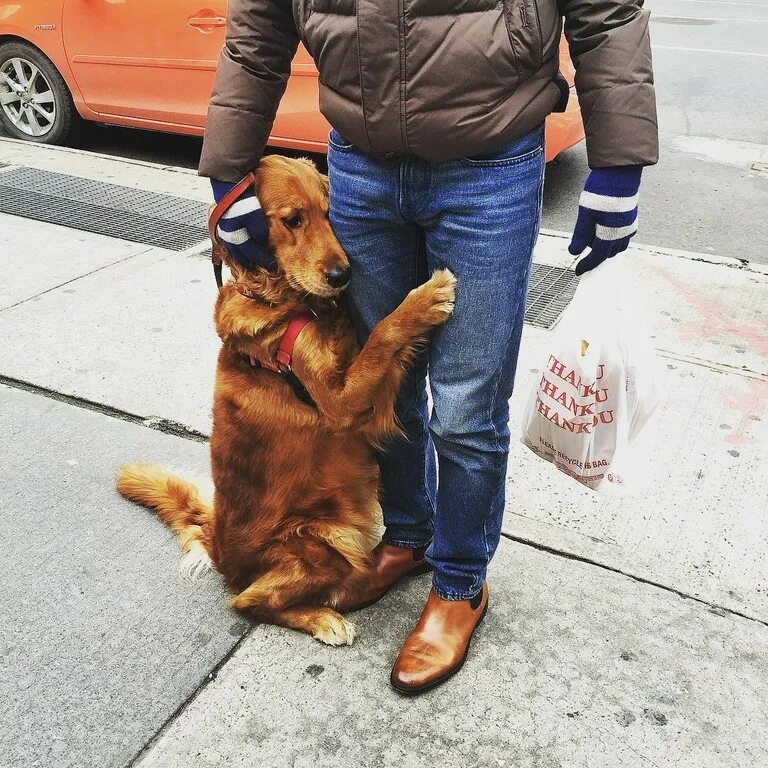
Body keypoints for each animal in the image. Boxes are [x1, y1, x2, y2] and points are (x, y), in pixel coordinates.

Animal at [118, 153, 456, 644]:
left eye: (331, 214)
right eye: (293, 220)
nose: (342, 275)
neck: (294, 305)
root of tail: (218, 546)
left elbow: (374, 340)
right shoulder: (339, 402)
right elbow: (383, 334)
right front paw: (425, 300)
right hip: (325, 537)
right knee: (248, 602)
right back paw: (325, 616)